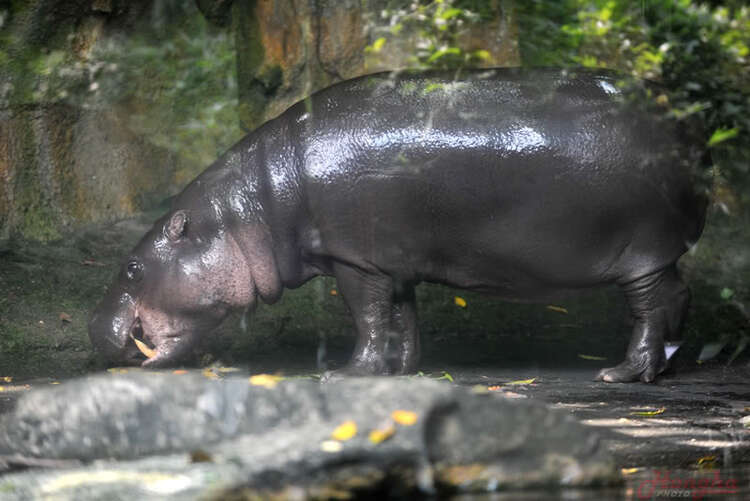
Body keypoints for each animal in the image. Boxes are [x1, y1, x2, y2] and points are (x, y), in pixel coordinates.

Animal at [89, 68, 712, 382]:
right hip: (661, 252)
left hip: (641, 251)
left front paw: (348, 374)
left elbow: (366, 316)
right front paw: (403, 370)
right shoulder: (394, 258)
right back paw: (667, 363)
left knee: (650, 306)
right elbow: (402, 317)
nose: (94, 330)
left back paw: (624, 374)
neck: (251, 208)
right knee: (678, 294)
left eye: (133, 266)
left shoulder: (354, 259)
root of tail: (687, 129)